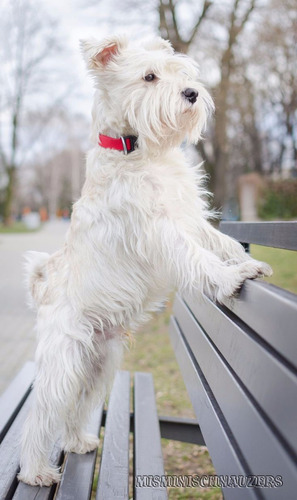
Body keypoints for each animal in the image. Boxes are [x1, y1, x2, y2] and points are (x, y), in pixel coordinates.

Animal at [16, 34, 270, 484]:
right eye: (149, 77)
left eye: (178, 71)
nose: (192, 93)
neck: (136, 149)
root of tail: (42, 288)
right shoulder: (160, 230)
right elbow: (198, 257)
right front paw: (231, 279)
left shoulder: (189, 218)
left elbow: (219, 243)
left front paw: (241, 260)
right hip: (63, 363)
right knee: (41, 415)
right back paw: (35, 472)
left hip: (99, 363)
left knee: (76, 408)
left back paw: (78, 442)